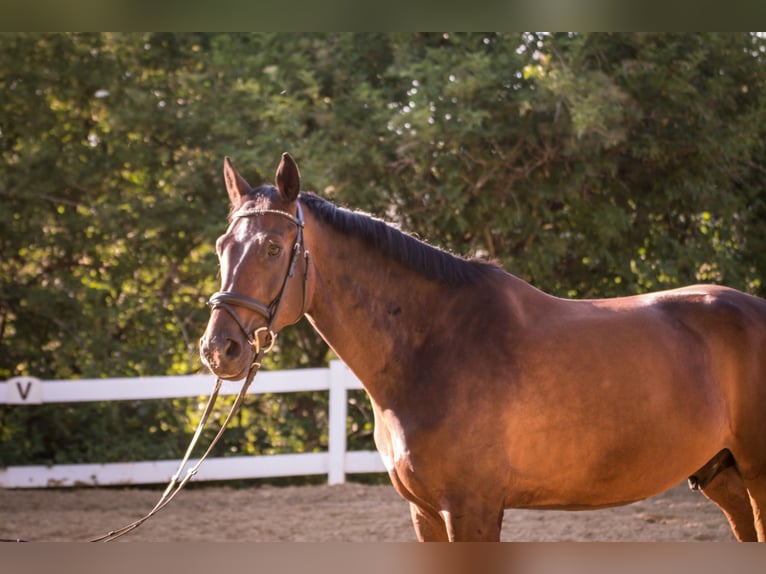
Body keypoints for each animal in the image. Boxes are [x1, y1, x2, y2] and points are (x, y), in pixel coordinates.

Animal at [200, 153, 766, 541]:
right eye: (223, 247)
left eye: (274, 247)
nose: (219, 349)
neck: (432, 348)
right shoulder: (426, 512)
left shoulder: (471, 510)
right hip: (724, 476)